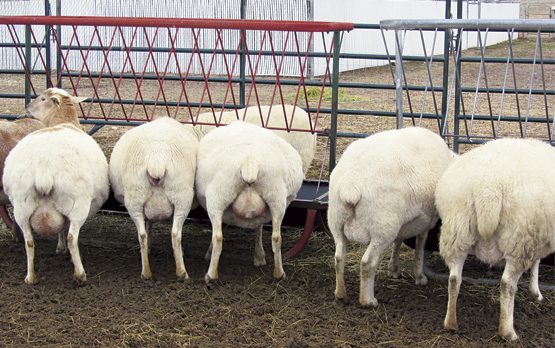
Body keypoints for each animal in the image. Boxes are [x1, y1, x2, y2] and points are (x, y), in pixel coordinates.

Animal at [2, 88, 108, 284]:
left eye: (43, 98)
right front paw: (61, 248)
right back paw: (80, 274)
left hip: (21, 205)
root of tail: (43, 167)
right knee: (72, 237)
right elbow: (63, 230)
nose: (27, 106)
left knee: (29, 241)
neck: (63, 121)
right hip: (77, 203)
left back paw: (30, 278)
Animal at [109, 115, 200, 282]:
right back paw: (182, 273)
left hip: (135, 198)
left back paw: (146, 273)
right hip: (181, 195)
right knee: (175, 234)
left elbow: (148, 224)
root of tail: (156, 159)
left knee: (141, 235)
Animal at [197, 120, 304, 282]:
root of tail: (250, 160)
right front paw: (259, 257)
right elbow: (259, 228)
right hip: (276, 197)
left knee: (217, 237)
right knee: (276, 237)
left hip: (217, 196)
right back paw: (279, 274)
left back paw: (211, 275)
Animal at [328, 126, 454, 306]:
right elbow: (420, 248)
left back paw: (340, 294)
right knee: (367, 263)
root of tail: (351, 186)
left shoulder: (401, 223)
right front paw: (419, 277)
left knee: (339, 258)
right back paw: (368, 301)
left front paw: (393, 269)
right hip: (381, 227)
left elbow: (398, 242)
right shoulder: (426, 222)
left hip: (337, 221)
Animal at [436, 137, 555, 342]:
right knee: (507, 284)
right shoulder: (537, 235)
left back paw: (451, 323)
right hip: (519, 238)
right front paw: (536, 292)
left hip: (458, 230)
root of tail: (488, 190)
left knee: (454, 279)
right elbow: (537, 263)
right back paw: (508, 332)